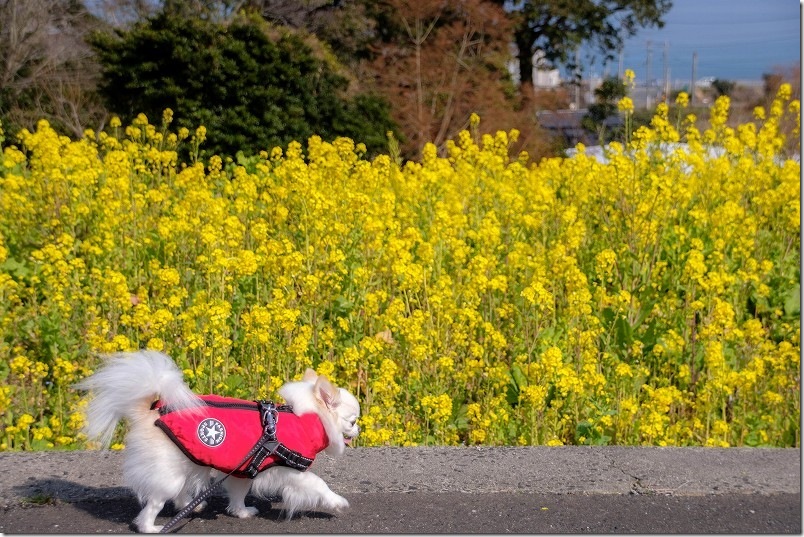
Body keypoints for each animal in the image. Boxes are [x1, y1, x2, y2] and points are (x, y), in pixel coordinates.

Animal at [77, 350, 360, 528]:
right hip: (168, 474)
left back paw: (192, 506)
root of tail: (150, 412)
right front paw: (338, 502)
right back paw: (153, 527)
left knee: (181, 492)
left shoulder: (244, 468)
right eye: (353, 421)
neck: (309, 417)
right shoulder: (287, 467)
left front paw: (241, 512)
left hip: (187, 461)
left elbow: (238, 493)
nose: (358, 431)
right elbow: (318, 484)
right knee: (153, 505)